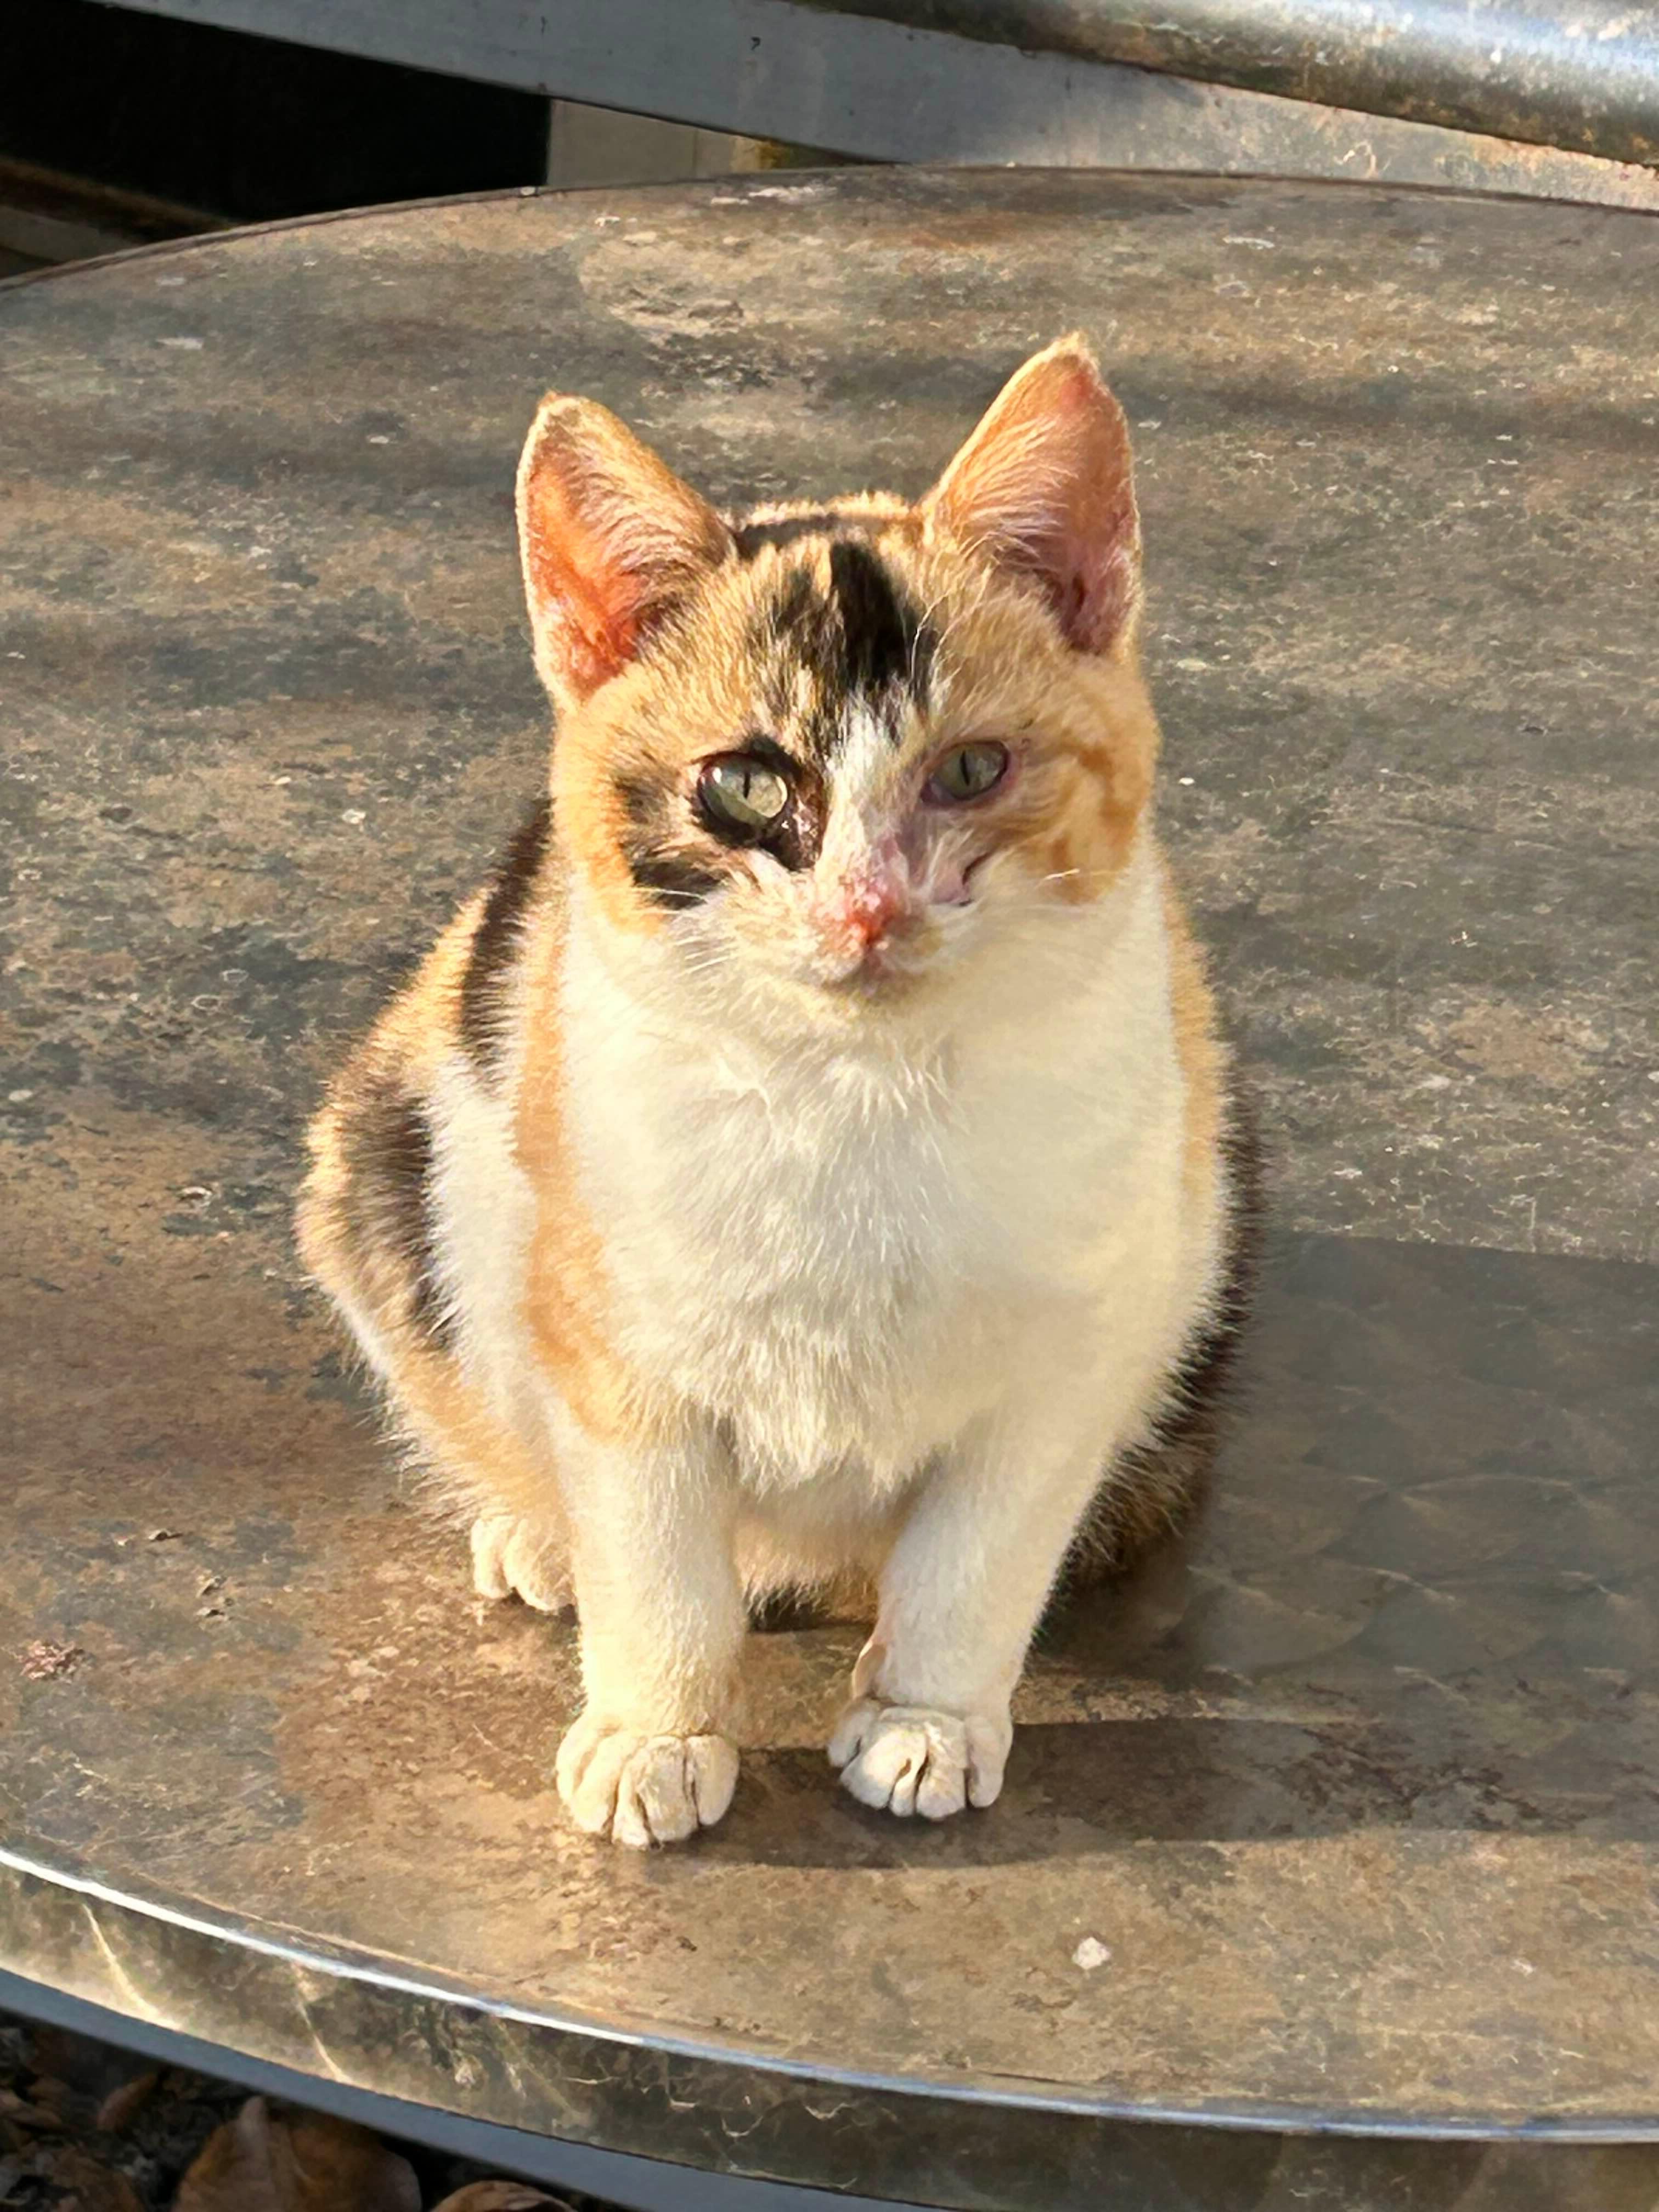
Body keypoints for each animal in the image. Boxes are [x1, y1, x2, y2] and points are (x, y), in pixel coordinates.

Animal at [297, 334, 1256, 1848]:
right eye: (745, 785)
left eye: (972, 767)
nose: (868, 910)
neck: (855, 1088)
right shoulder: (613, 1331)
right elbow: (656, 1552)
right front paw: (656, 1731)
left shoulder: (1080, 1338)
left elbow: (978, 1552)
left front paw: (927, 1716)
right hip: (392, 1154)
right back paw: (534, 1530)